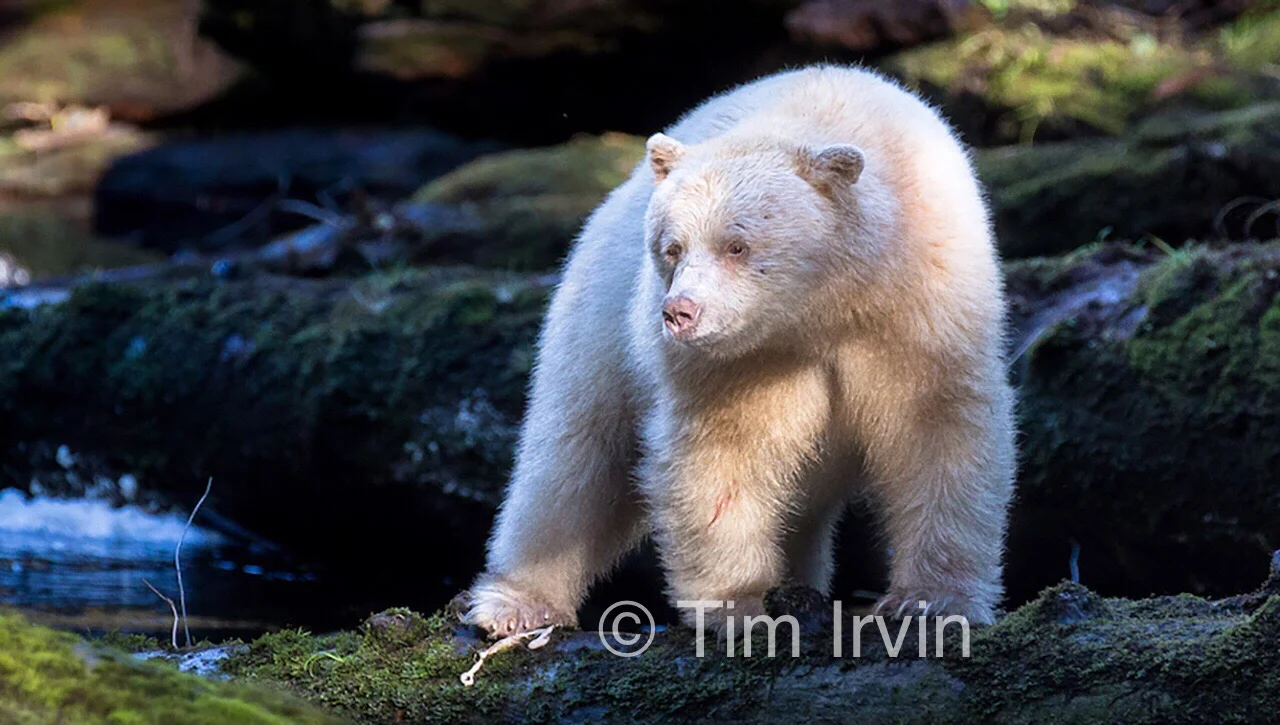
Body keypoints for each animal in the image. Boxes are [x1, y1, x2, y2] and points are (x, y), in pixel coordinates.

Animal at [461, 65, 1016, 637]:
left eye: (737, 245)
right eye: (672, 247)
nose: (679, 312)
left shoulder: (924, 311)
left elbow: (938, 430)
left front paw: (932, 602)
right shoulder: (733, 363)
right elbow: (723, 455)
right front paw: (742, 605)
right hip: (600, 317)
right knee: (573, 458)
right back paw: (515, 604)